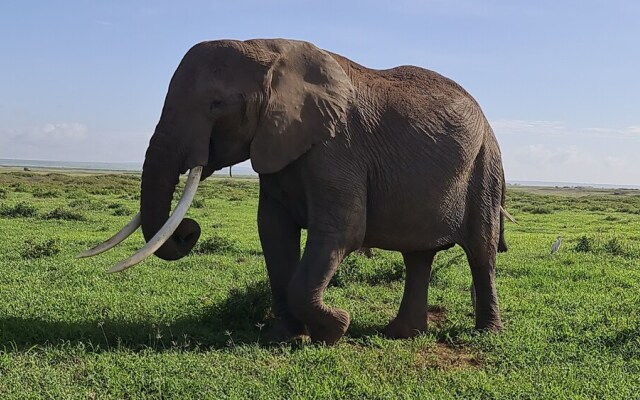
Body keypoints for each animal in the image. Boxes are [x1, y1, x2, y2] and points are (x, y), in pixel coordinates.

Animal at [80, 38, 510, 344]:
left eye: (217, 104)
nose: (189, 231)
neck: (269, 52)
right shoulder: (277, 142)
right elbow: (273, 232)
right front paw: (284, 337)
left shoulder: (338, 146)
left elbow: (340, 232)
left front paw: (335, 329)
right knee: (418, 255)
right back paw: (401, 334)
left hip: (486, 165)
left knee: (480, 251)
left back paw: (485, 333)